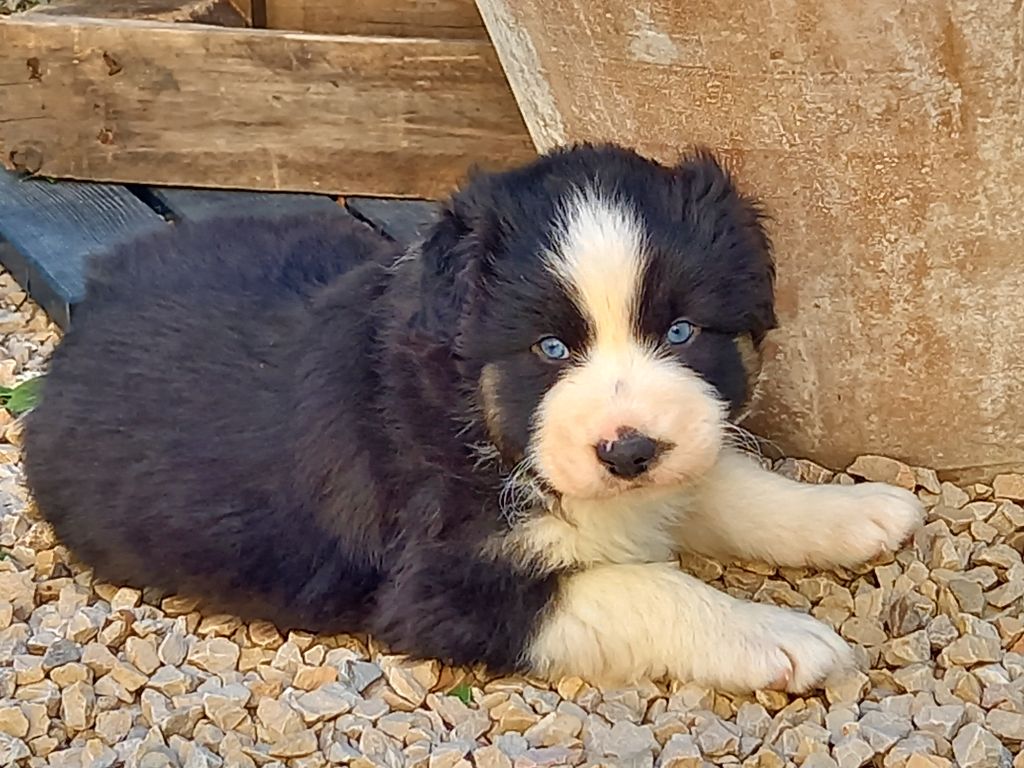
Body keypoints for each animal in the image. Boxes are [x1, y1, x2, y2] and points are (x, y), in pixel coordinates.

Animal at [24, 144, 924, 692]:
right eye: (550, 347)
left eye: (680, 332)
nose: (628, 450)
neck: (477, 421)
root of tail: (95, 298)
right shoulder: (441, 590)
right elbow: (647, 588)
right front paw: (779, 637)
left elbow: (727, 482)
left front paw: (856, 512)